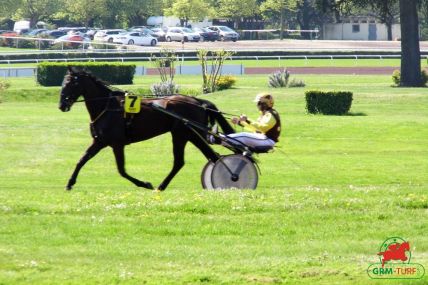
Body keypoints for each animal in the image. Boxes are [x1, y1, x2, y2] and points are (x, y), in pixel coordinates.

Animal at [57, 67, 234, 190]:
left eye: (72, 83)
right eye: (63, 83)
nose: (62, 105)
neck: (107, 107)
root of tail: (197, 101)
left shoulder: (117, 143)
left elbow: (121, 170)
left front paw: (144, 183)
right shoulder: (99, 141)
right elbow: (81, 160)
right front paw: (70, 183)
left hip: (187, 134)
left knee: (211, 156)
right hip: (183, 135)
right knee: (188, 160)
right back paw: (162, 186)